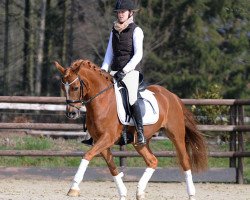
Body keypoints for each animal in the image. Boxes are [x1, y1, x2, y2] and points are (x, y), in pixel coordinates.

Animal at [54, 59, 207, 200]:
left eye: (75, 87)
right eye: (62, 87)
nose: (71, 113)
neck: (102, 101)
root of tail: (172, 96)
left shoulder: (108, 138)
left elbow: (87, 156)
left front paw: (73, 188)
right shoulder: (99, 141)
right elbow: (112, 167)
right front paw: (123, 192)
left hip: (176, 135)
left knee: (184, 160)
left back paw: (191, 194)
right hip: (139, 142)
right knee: (152, 161)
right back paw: (139, 191)